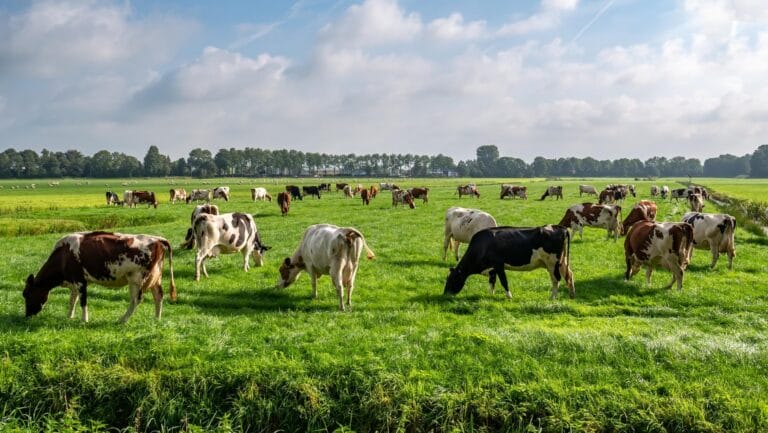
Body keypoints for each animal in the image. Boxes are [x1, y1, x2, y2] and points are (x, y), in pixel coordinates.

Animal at [23, 231, 177, 323]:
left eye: (27, 294)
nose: (27, 315)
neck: (64, 254)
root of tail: (158, 239)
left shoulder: (80, 281)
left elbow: (83, 301)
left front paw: (84, 320)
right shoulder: (74, 282)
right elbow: (72, 300)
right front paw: (69, 316)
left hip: (137, 278)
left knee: (136, 300)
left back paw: (123, 320)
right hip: (155, 277)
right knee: (158, 295)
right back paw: (157, 319)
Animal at [443, 225, 575, 300]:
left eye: (453, 279)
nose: (445, 294)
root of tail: (560, 228)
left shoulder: (499, 265)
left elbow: (503, 281)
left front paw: (509, 296)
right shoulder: (492, 269)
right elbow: (492, 281)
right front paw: (491, 295)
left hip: (552, 263)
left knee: (556, 279)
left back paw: (552, 297)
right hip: (561, 262)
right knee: (569, 275)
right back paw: (571, 295)